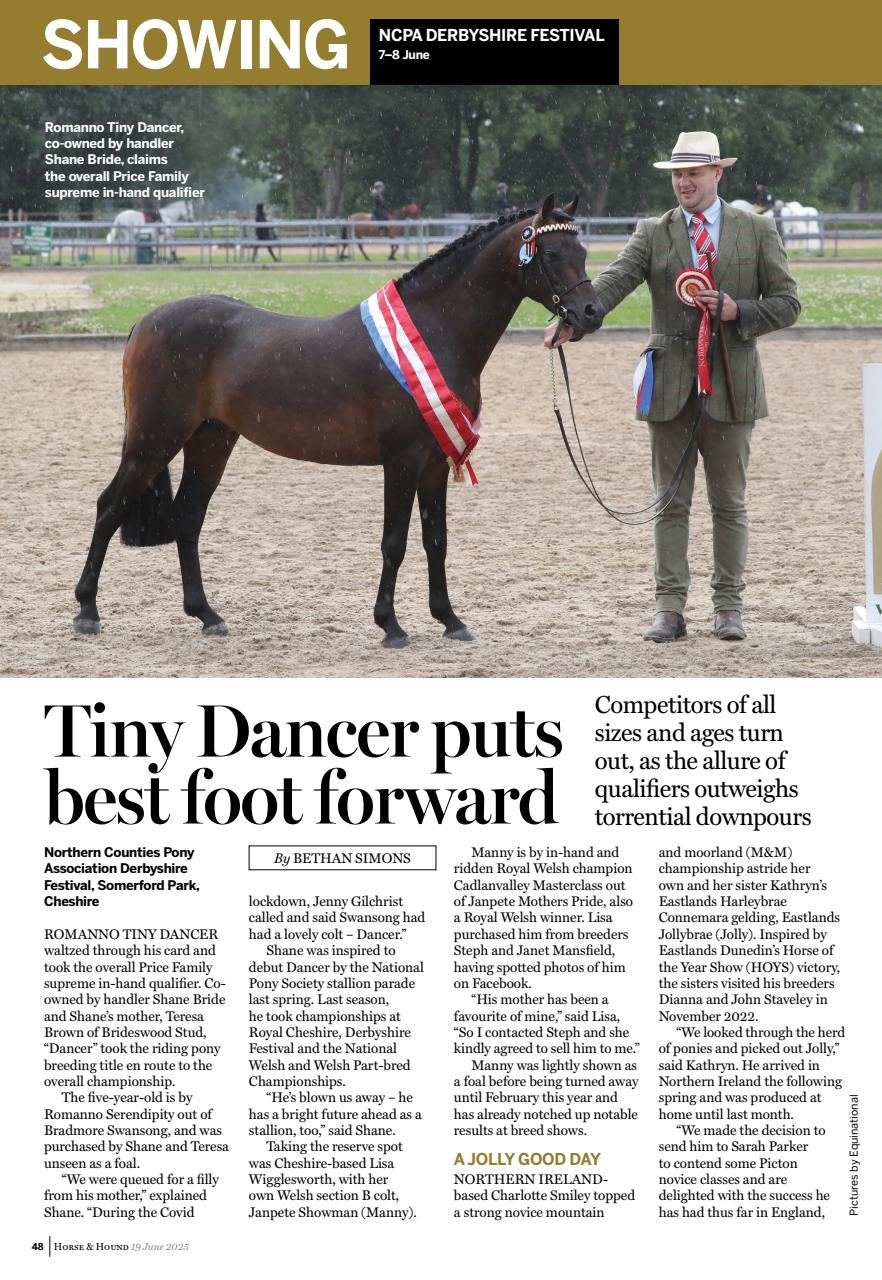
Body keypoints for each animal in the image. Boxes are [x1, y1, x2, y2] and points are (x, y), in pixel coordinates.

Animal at [73, 195, 603, 648]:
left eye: (582, 250)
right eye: (551, 252)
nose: (591, 312)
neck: (434, 330)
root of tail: (144, 323)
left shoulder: (435, 462)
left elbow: (436, 540)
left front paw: (450, 620)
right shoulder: (402, 461)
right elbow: (395, 542)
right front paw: (391, 626)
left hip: (210, 442)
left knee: (187, 517)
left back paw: (207, 615)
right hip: (154, 440)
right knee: (109, 506)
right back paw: (87, 612)